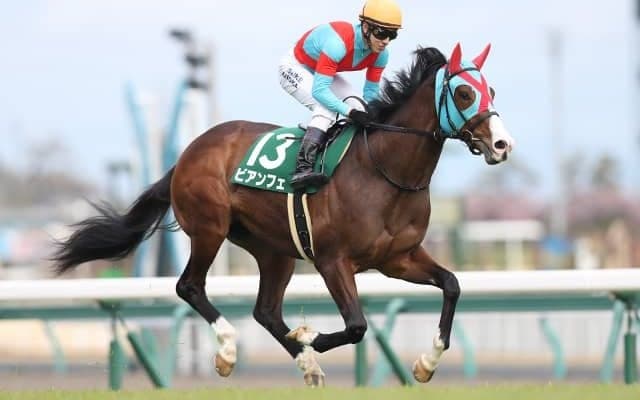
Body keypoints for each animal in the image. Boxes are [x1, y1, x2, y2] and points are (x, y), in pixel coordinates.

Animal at [52, 43, 514, 386]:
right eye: (464, 93)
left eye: (492, 90)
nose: (502, 145)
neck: (386, 171)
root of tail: (188, 153)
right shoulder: (333, 260)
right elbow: (357, 325)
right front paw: (311, 337)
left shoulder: (397, 259)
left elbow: (451, 285)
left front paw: (426, 363)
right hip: (209, 228)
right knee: (190, 287)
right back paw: (229, 350)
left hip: (274, 250)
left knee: (266, 312)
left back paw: (305, 364)